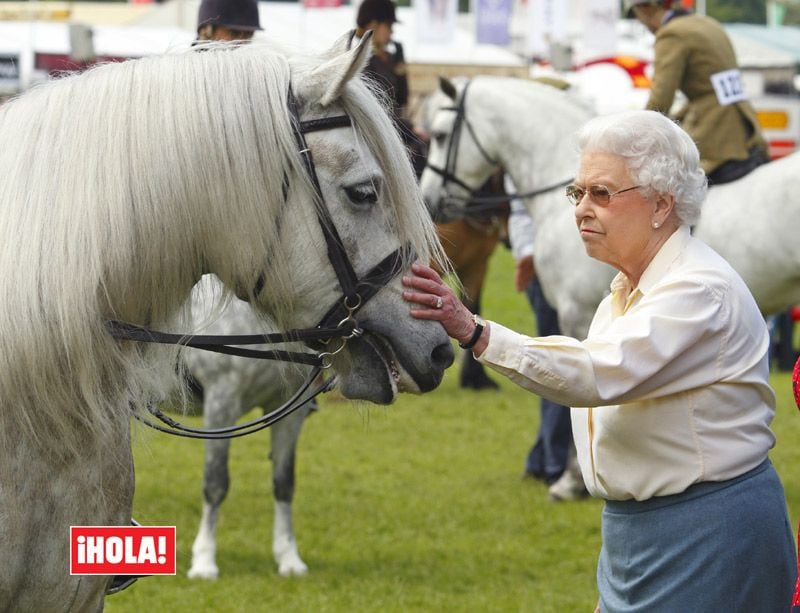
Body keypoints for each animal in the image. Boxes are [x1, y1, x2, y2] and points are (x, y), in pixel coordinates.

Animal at [182, 272, 316, 580]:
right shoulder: (221, 403)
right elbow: (215, 483)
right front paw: (204, 562)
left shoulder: (290, 409)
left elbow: (284, 483)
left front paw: (288, 558)